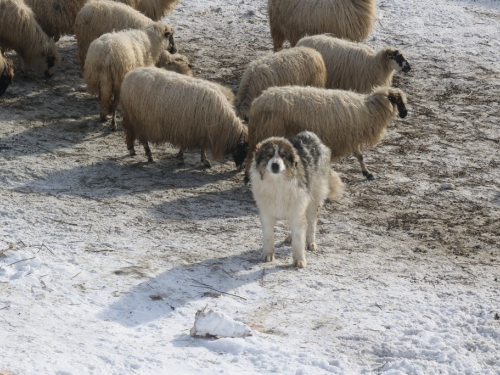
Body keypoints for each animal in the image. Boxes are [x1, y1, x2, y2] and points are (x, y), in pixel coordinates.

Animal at [119, 66, 248, 169]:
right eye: (245, 148)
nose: (241, 167)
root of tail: (129, 75)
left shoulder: (195, 130)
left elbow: (197, 147)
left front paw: (198, 160)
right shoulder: (193, 130)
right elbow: (194, 147)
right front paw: (197, 160)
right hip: (139, 120)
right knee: (142, 139)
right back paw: (148, 155)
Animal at [244, 87, 408, 184]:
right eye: (399, 101)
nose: (405, 114)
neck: (369, 110)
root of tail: (258, 101)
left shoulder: (349, 138)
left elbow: (360, 156)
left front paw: (367, 173)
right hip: (266, 131)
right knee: (252, 155)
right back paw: (247, 177)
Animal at [250, 131, 344, 268]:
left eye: (283, 155)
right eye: (269, 155)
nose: (275, 165)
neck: (277, 182)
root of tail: (310, 135)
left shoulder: (297, 209)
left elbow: (299, 239)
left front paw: (299, 259)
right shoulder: (267, 212)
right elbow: (268, 235)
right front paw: (268, 253)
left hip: (314, 199)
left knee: (312, 223)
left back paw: (310, 242)